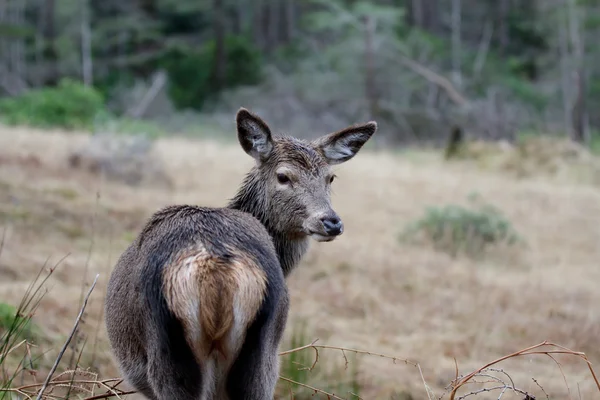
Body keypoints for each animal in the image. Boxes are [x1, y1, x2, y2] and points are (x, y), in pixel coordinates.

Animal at [102, 108, 376, 398]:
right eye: (283, 176)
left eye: (330, 177)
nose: (331, 221)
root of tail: (215, 272)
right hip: (258, 355)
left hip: (170, 351)